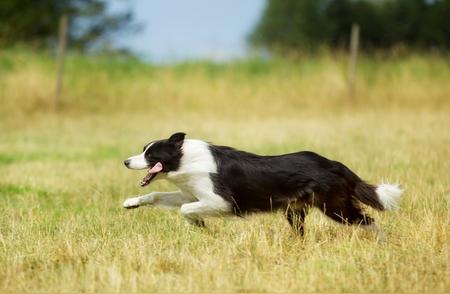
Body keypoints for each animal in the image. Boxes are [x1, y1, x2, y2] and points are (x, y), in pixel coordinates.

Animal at [122, 133, 400, 237]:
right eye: (143, 150)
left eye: (150, 154)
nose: (125, 161)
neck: (184, 159)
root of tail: (333, 163)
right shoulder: (192, 194)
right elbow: (156, 195)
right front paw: (131, 202)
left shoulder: (221, 201)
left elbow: (184, 210)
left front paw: (200, 225)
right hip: (295, 211)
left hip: (335, 206)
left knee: (368, 220)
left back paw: (382, 243)